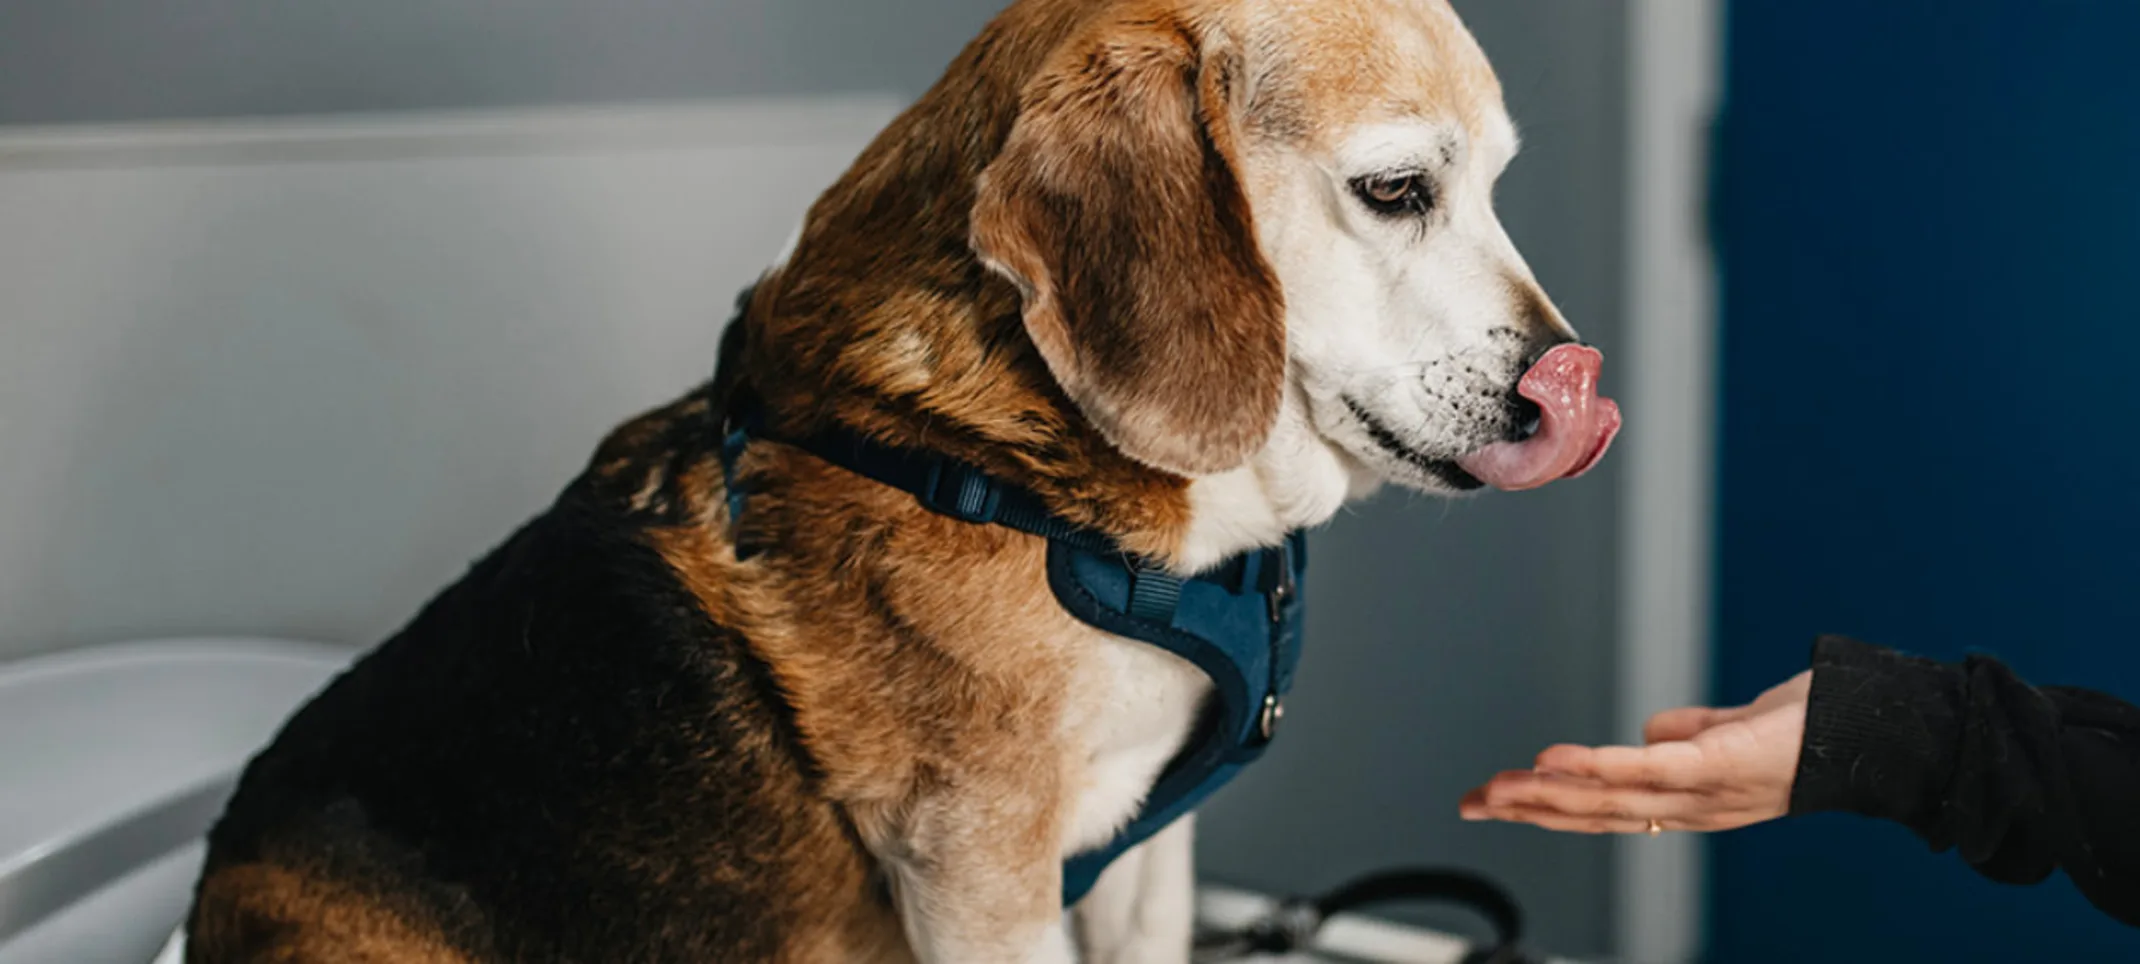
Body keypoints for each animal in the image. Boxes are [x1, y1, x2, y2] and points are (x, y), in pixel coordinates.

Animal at [188, 1, 1617, 964]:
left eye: (1497, 183)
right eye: (1396, 189)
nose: (1570, 380)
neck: (1004, 471)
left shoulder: (1146, 853)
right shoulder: (978, 866)